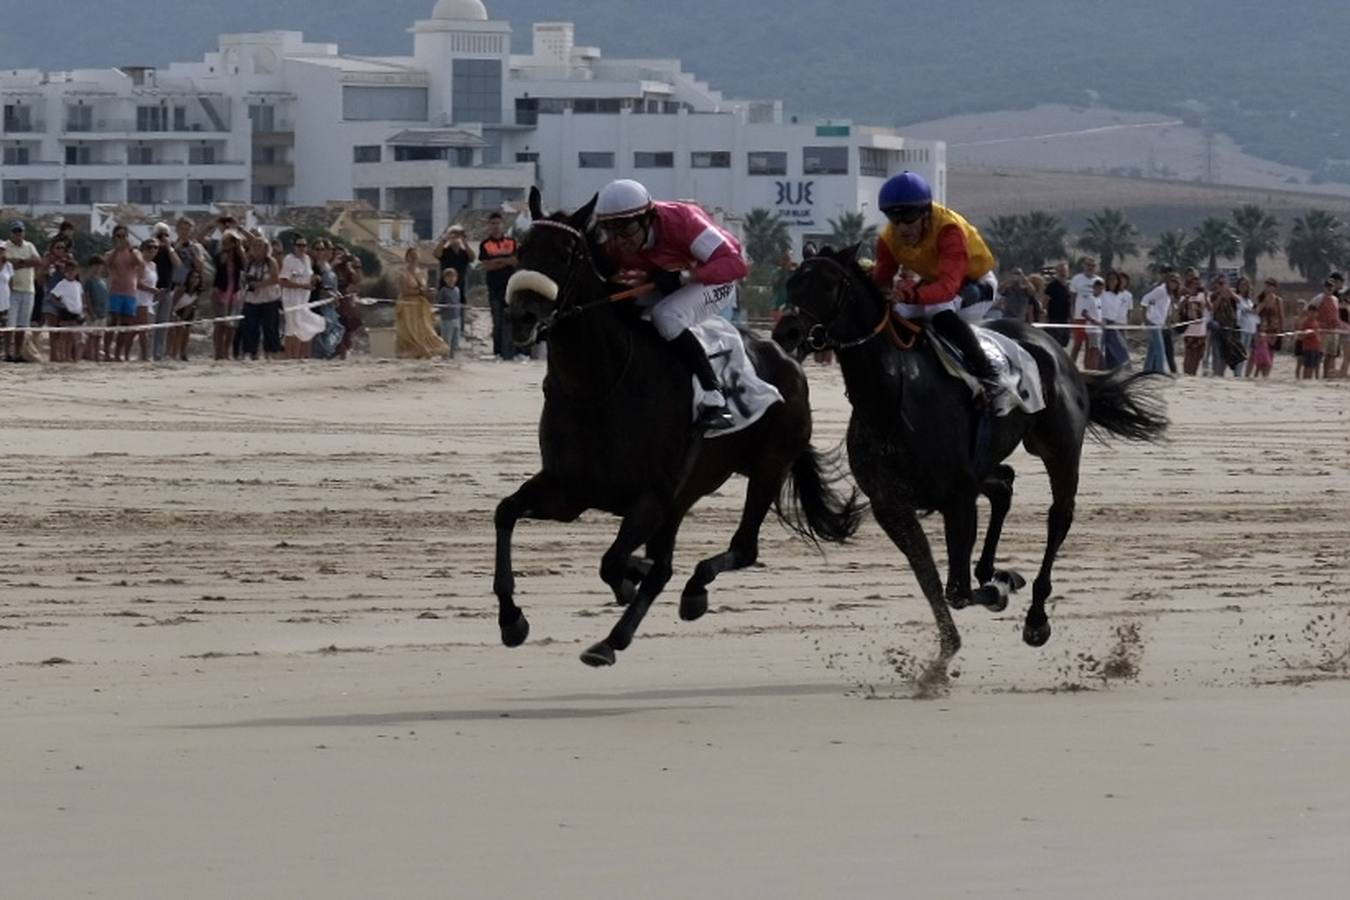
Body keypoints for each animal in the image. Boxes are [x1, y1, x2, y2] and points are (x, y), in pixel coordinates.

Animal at [491, 190, 858, 666]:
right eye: (521, 248)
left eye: (567, 253)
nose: (521, 317)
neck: (601, 385)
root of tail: (788, 357)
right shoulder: (569, 489)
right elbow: (506, 512)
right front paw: (511, 618)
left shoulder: (651, 496)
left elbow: (614, 562)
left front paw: (628, 585)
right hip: (688, 493)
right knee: (665, 562)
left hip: (769, 466)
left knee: (742, 548)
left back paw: (655, 614)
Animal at [783, 246, 1171, 674]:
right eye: (791, 281)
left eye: (828, 284)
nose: (786, 333)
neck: (891, 399)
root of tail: (1052, 346)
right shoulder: (893, 506)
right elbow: (931, 580)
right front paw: (945, 651)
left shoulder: (956, 498)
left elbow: (956, 589)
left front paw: (999, 590)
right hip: (984, 464)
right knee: (1003, 484)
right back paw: (994, 570)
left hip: (1059, 448)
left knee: (1059, 516)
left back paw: (1035, 615)